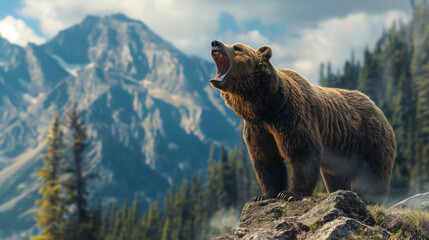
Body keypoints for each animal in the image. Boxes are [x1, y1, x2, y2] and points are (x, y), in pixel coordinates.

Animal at [209, 39, 396, 204]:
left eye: (237, 47)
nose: (215, 43)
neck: (268, 107)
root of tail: (378, 109)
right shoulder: (258, 128)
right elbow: (266, 159)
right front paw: (264, 195)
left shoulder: (291, 117)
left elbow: (302, 152)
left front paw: (290, 194)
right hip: (342, 153)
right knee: (335, 177)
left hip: (369, 141)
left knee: (372, 174)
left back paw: (367, 198)